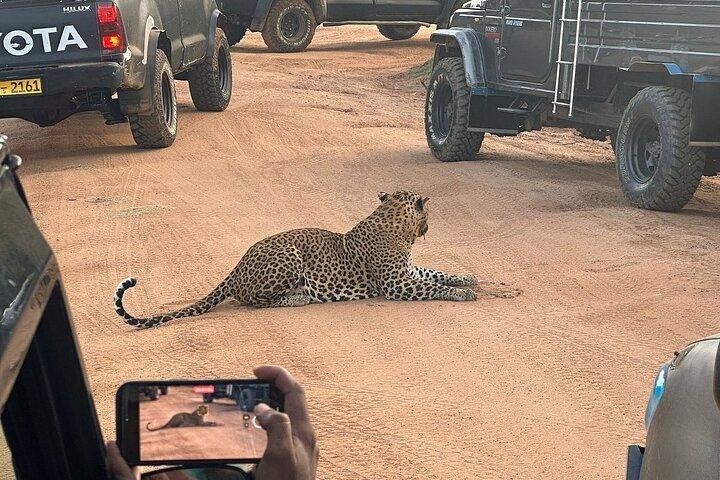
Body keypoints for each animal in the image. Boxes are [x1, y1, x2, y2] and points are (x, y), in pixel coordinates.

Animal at [114, 191, 478, 329]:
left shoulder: (407, 271)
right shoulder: (396, 284)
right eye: (427, 213)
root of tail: (237, 266)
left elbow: (436, 273)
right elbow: (433, 287)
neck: (394, 226)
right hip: (289, 257)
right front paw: (464, 293)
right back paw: (300, 297)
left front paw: (467, 278)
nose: (429, 225)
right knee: (254, 301)